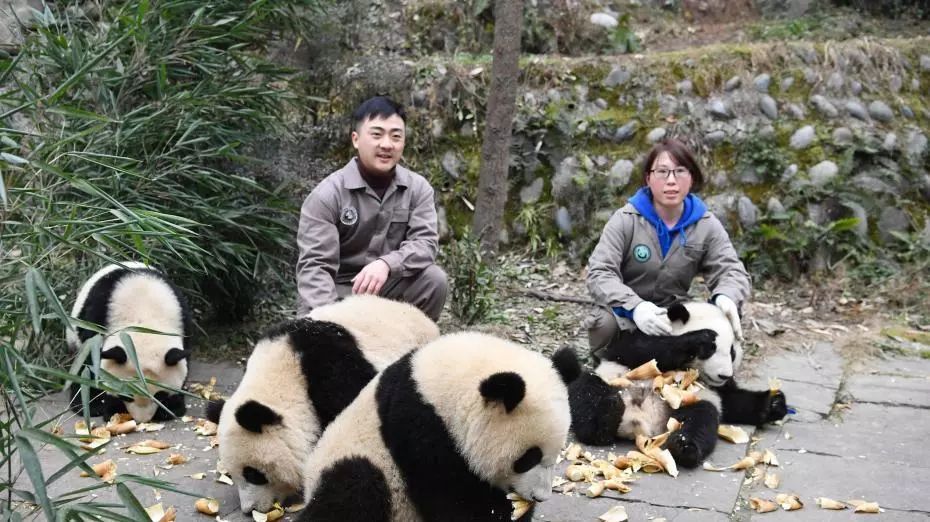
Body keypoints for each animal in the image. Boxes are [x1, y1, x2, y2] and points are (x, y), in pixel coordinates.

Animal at [66, 262, 192, 420]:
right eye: (126, 395)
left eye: (160, 396)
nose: (142, 419)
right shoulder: (96, 321)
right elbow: (89, 363)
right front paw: (101, 408)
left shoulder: (183, 322)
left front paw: (172, 408)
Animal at [298, 332, 576, 520]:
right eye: (528, 458)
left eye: (555, 455)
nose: (540, 496)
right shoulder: (421, 424)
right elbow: (450, 497)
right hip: (359, 460)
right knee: (354, 487)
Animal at [560, 300, 788, 468]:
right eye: (712, 350)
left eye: (732, 352)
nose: (724, 374)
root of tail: (637, 425)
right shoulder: (632, 343)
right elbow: (645, 350)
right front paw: (701, 338)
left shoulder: (715, 389)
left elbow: (734, 402)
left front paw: (775, 403)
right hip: (611, 381)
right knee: (586, 390)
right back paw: (603, 420)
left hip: (687, 404)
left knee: (702, 418)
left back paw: (684, 447)